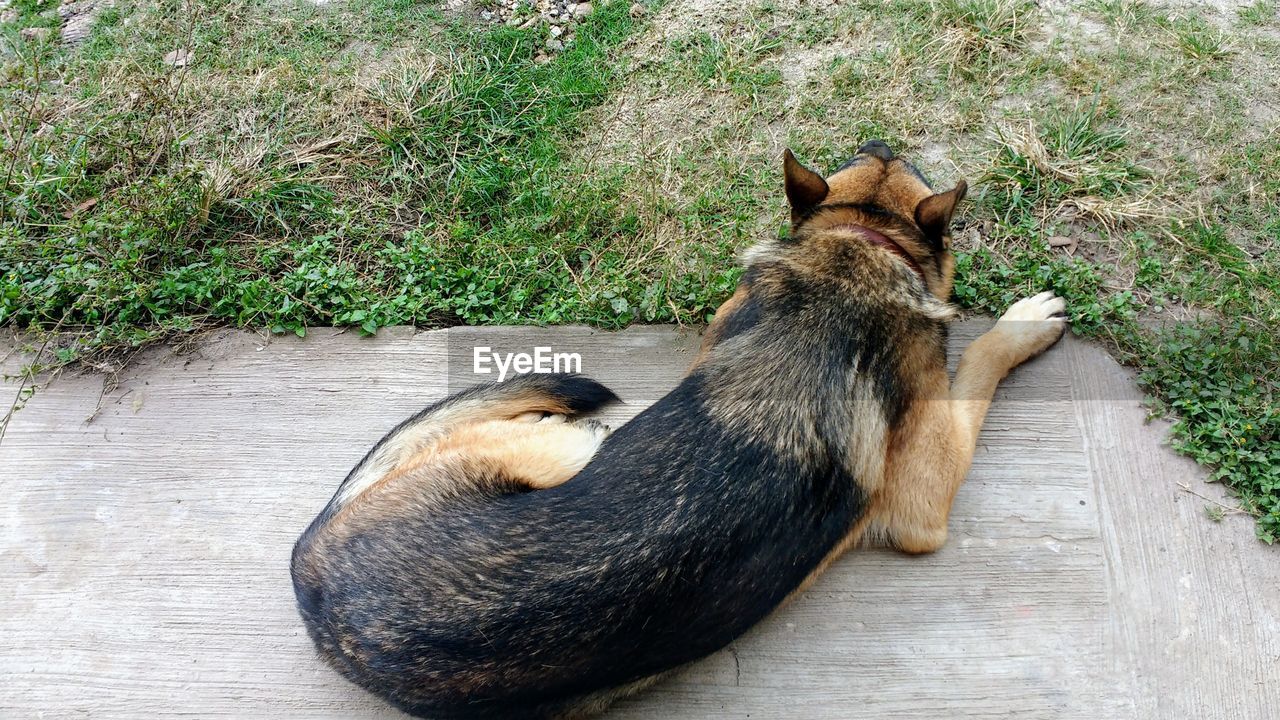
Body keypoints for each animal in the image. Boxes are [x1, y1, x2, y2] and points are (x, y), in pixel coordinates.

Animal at [290, 139, 1070, 712]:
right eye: (879, 154)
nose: (882, 136)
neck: (862, 246)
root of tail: (316, 588)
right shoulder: (921, 506)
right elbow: (977, 369)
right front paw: (1023, 323)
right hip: (563, 446)